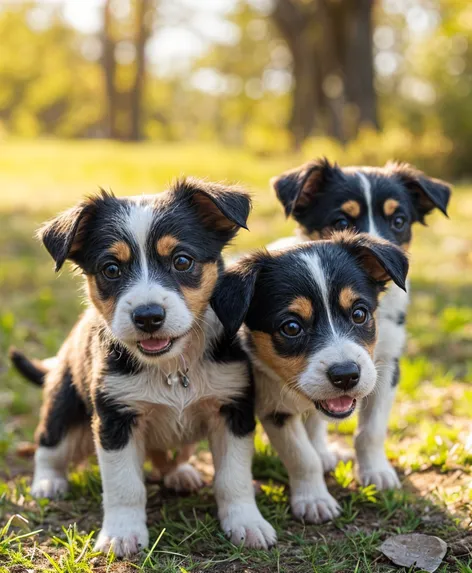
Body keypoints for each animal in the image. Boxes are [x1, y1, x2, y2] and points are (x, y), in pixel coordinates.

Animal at [11, 180, 276, 556]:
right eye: (111, 269)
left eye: (182, 261)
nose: (148, 317)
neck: (172, 367)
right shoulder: (114, 419)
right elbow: (124, 486)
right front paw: (122, 534)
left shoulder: (233, 410)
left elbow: (232, 478)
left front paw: (247, 523)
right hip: (64, 402)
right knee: (49, 446)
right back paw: (48, 483)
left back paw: (181, 473)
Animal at [214, 232, 410, 524]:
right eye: (291, 327)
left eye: (359, 313)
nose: (346, 375)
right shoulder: (274, 407)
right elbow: (302, 457)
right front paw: (314, 501)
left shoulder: (383, 373)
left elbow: (372, 430)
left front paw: (376, 472)